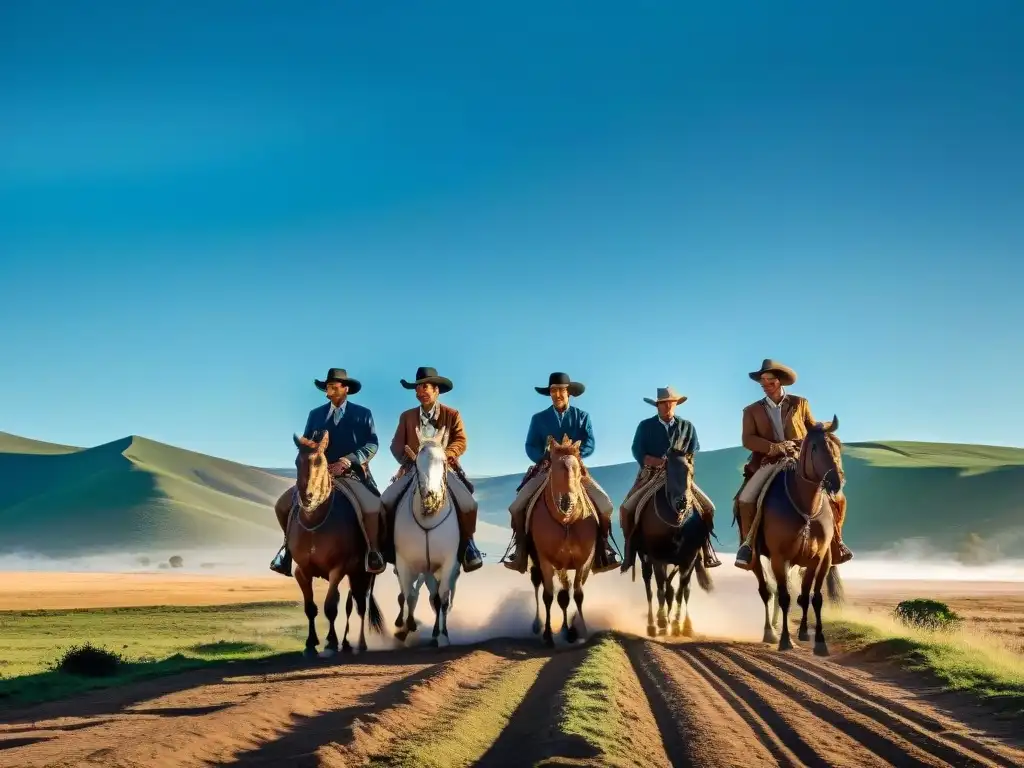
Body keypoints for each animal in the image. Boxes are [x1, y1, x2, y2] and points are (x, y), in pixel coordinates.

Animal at [278, 430, 385, 659]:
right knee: (351, 604)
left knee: (359, 606)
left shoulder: (337, 569)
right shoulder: (303, 570)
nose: (307, 496)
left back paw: (359, 644)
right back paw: (346, 643)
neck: (315, 523)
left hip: (362, 574)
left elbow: (330, 606)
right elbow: (311, 607)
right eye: (297, 461)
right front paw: (310, 644)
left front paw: (330, 643)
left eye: (321, 461)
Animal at [391, 428, 460, 651]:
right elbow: (409, 595)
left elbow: (443, 599)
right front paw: (405, 628)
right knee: (423, 596)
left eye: (444, 461)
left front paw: (443, 637)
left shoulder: (448, 564)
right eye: (415, 463)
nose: (431, 497)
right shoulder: (404, 564)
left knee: (437, 599)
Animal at [524, 436, 598, 647]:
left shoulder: (584, 561)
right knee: (541, 585)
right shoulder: (545, 560)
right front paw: (548, 635)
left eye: (578, 469)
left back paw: (567, 629)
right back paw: (538, 625)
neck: (566, 522)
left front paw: (581, 630)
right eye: (553, 469)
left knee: (565, 592)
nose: (567, 502)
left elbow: (578, 594)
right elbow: (548, 595)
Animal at [626, 434, 716, 638]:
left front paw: (677, 625)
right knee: (650, 587)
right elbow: (660, 588)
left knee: (676, 588)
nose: (682, 502)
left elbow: (681, 590)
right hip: (645, 559)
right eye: (668, 472)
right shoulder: (657, 558)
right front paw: (662, 621)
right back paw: (653, 625)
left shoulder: (688, 559)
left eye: (690, 472)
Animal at [745, 415, 847, 655]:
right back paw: (770, 632)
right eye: (815, 447)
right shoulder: (779, 558)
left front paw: (818, 640)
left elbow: (813, 597)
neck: (806, 506)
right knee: (767, 591)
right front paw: (785, 640)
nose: (837, 481)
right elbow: (785, 597)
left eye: (838, 446)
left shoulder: (819, 558)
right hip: (757, 559)